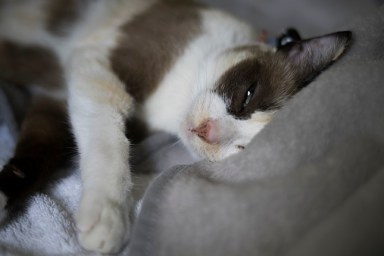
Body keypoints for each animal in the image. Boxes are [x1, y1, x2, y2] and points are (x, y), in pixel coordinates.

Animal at [0, 0, 352, 253]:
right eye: (248, 95)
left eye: (240, 149)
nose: (207, 130)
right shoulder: (98, 70)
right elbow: (109, 145)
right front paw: (109, 216)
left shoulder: (55, 97)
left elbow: (34, 158)